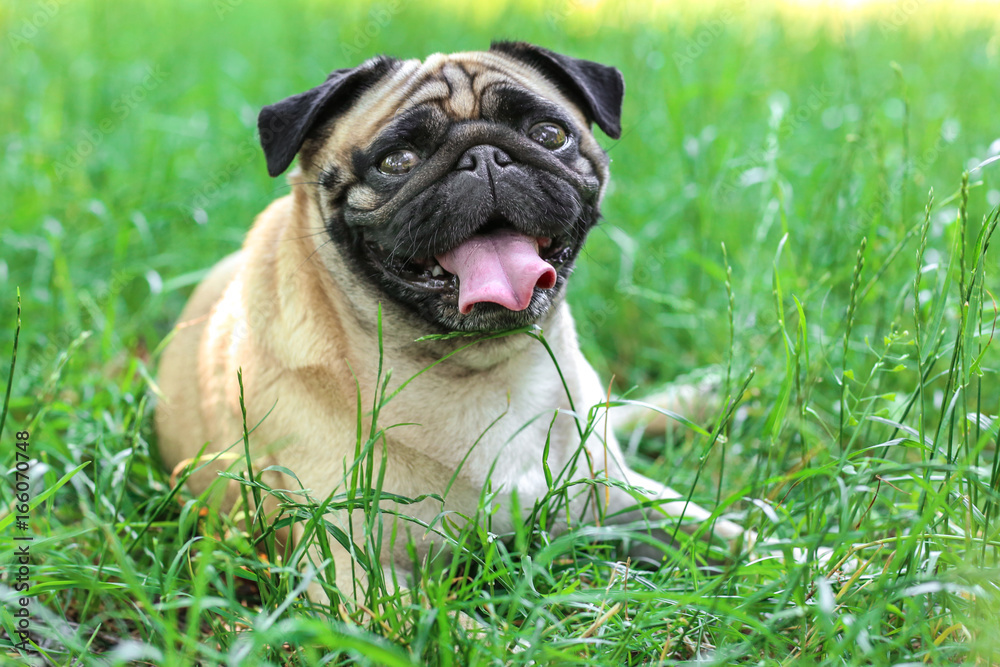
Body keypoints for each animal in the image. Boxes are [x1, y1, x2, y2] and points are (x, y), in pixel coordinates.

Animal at [154, 43, 752, 604]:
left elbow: (734, 540)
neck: (482, 370)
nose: (485, 156)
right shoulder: (353, 575)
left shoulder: (624, 500)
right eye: (397, 160)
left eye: (549, 133)